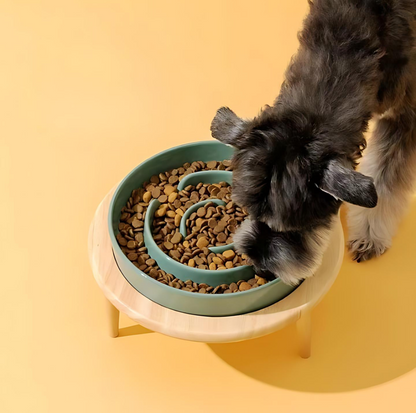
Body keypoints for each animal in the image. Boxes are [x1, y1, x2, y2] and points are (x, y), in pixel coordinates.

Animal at [210, 0, 416, 284]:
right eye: (248, 211)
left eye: (292, 229)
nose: (261, 270)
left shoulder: (404, 116)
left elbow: (386, 181)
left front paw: (369, 234)